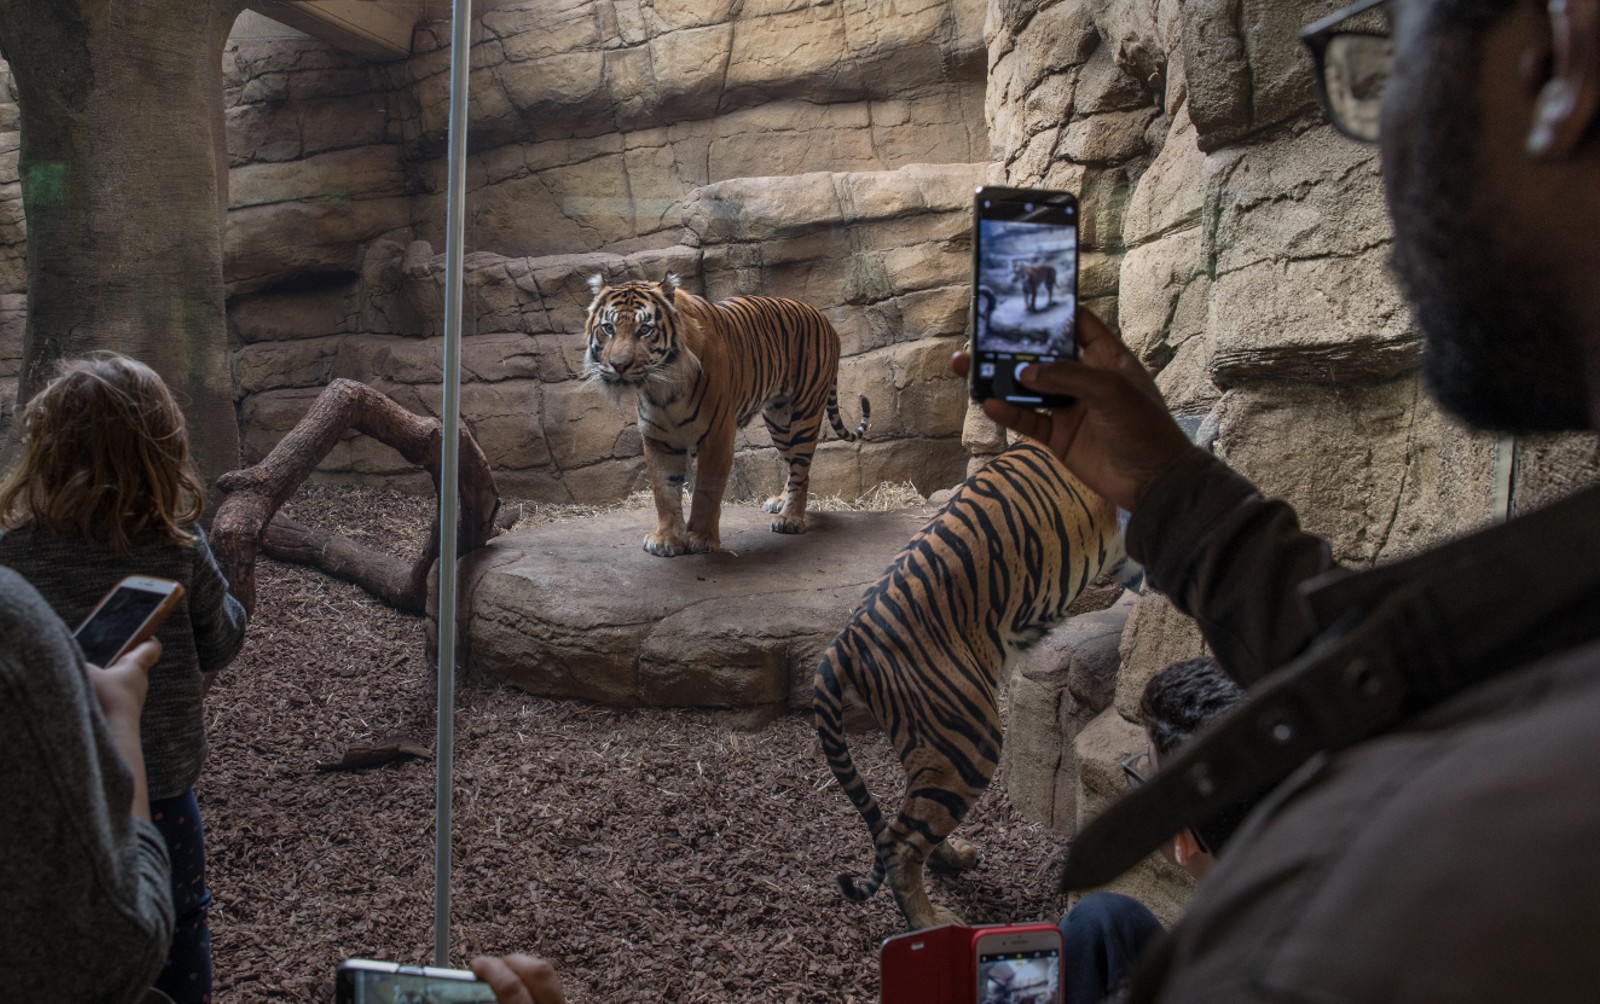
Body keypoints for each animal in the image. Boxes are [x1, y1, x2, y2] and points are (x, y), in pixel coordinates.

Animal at [582, 274, 870, 556]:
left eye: (645, 330)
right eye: (608, 328)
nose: (618, 366)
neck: (662, 388)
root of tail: (823, 317)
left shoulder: (717, 433)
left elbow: (706, 490)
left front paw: (700, 538)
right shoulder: (658, 438)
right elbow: (664, 491)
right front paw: (666, 539)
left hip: (804, 413)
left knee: (802, 466)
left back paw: (790, 519)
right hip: (779, 421)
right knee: (796, 466)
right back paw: (780, 502)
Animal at [812, 444, 1126, 927]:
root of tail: (847, 638)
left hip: (933, 745)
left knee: (915, 819)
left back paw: (955, 860)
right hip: (968, 739)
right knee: (899, 842)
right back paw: (930, 920)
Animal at [966, 186, 1081, 409]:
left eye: (1017, 270)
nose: (1012, 277)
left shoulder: (1033, 288)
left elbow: (1033, 300)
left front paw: (1033, 309)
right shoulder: (1026, 290)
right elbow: (1027, 300)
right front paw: (1028, 309)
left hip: (1048, 283)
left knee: (1050, 292)